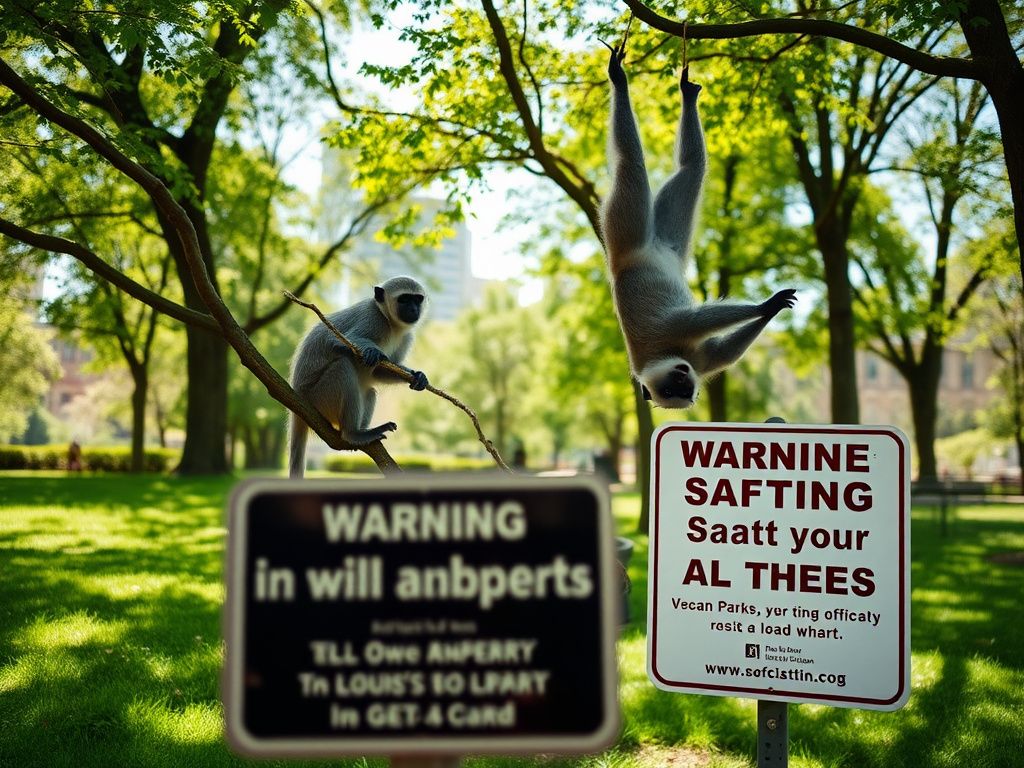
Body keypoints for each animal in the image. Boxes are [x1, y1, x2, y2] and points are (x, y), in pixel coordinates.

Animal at [288, 276, 429, 478]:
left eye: (417, 299)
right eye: (404, 299)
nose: (413, 309)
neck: (391, 323)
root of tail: (299, 395)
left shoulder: (406, 337)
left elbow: (378, 372)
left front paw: (417, 376)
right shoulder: (373, 319)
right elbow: (334, 339)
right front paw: (371, 350)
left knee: (369, 391)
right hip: (320, 397)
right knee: (343, 367)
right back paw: (354, 434)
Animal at [601, 42, 796, 409]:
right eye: (674, 391)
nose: (686, 385)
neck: (668, 353)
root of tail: (619, 262)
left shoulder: (672, 339)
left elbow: (696, 323)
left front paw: (767, 305)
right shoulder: (693, 353)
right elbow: (718, 348)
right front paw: (770, 308)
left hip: (625, 230)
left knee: (631, 162)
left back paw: (622, 81)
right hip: (665, 243)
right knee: (691, 166)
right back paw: (685, 93)